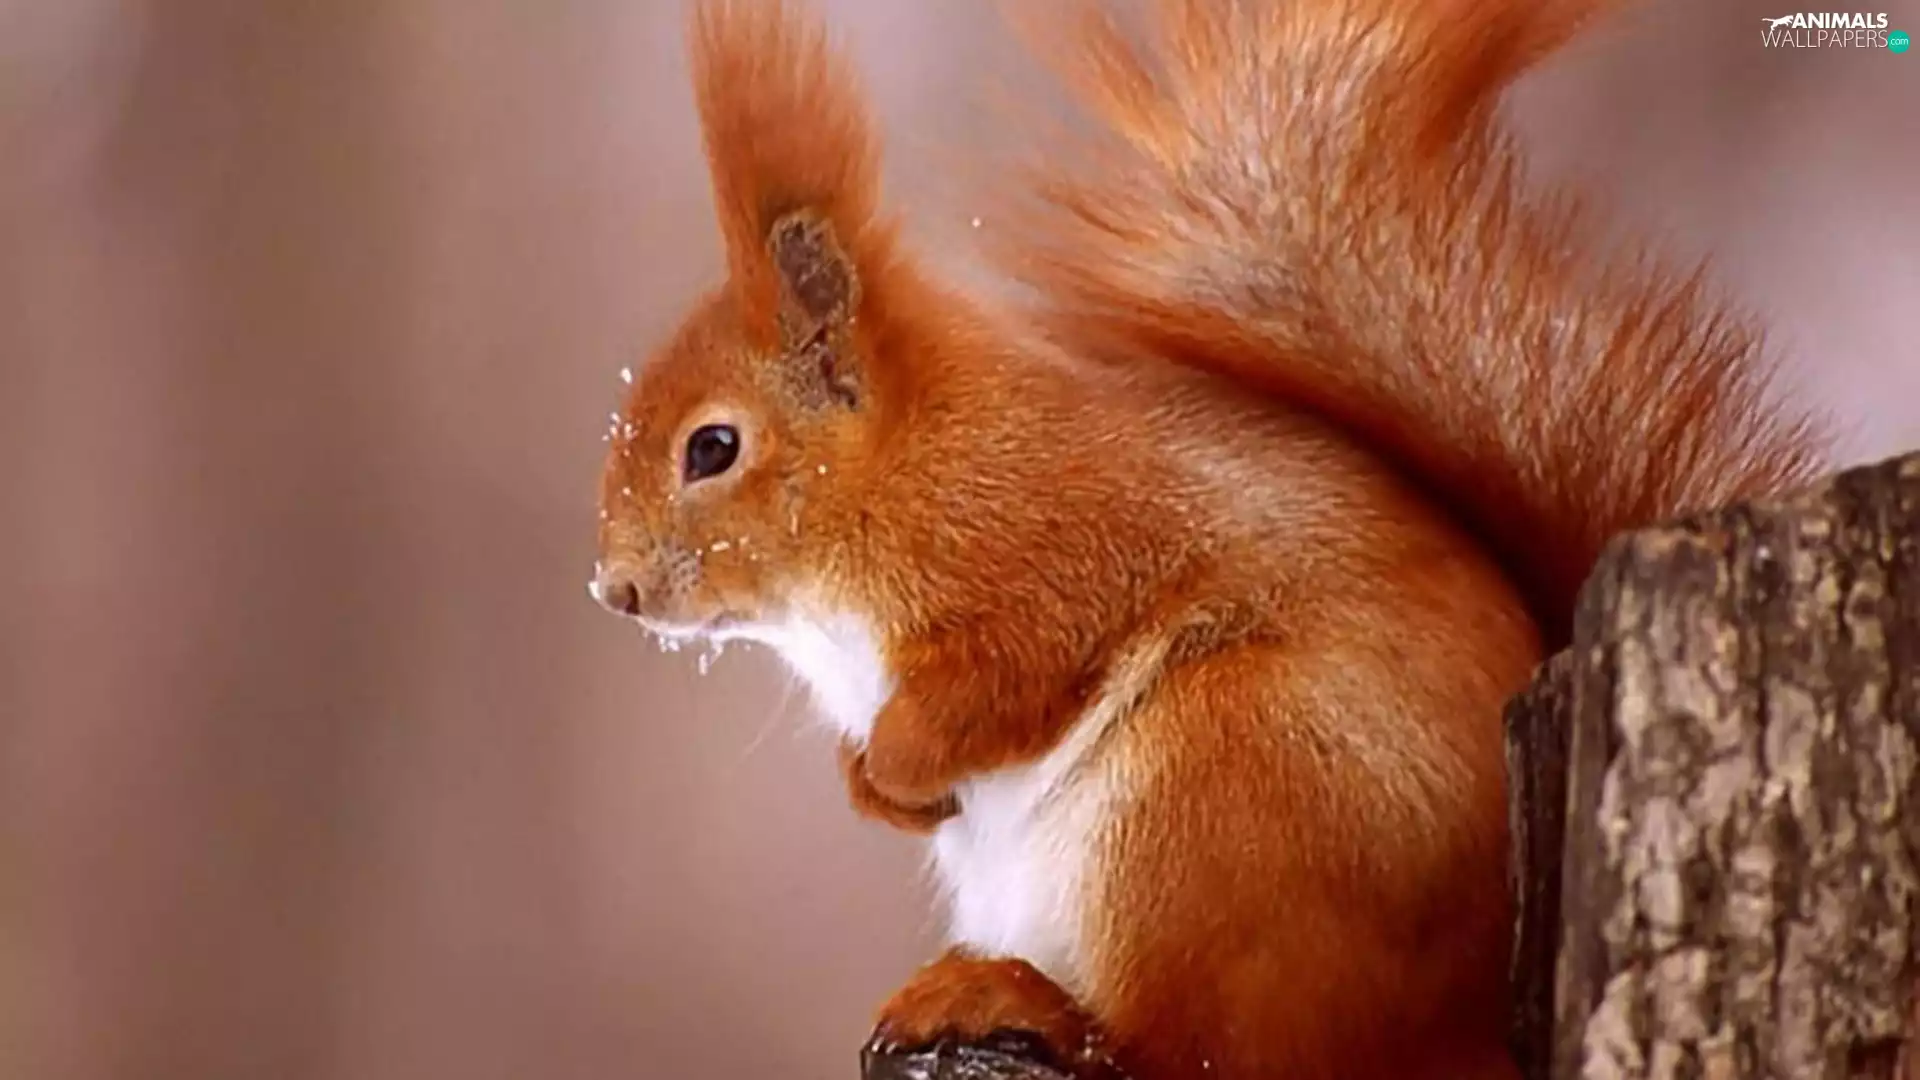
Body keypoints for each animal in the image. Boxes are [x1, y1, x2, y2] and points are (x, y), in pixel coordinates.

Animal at [590, 0, 1824, 1077]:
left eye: (712, 447)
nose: (617, 592)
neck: (900, 474)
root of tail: (1464, 1024)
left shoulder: (1051, 548)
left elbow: (1005, 678)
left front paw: (899, 764)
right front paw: (877, 791)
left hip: (1222, 786)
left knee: (1196, 1046)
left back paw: (1009, 999)